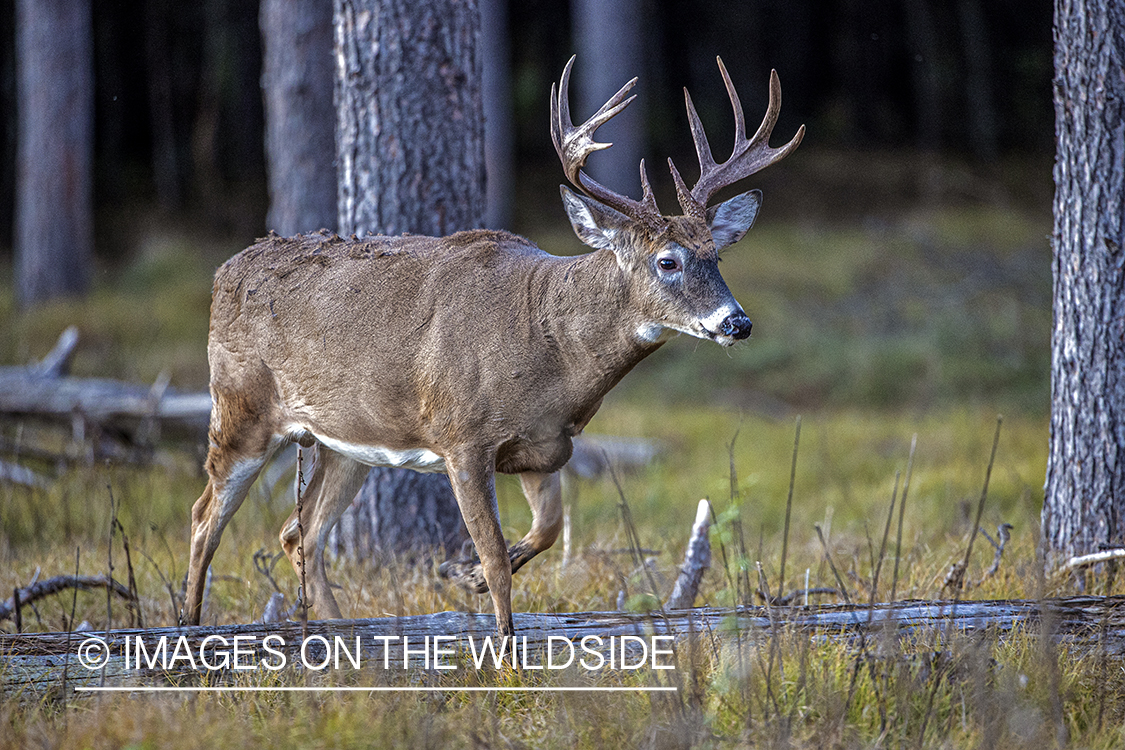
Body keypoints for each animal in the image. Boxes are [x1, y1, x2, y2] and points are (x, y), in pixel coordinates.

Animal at [182, 55, 801, 638]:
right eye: (667, 261)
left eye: (716, 255)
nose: (737, 323)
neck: (550, 349)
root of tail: (223, 271)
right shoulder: (463, 438)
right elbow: (499, 559)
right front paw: (502, 647)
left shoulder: (545, 445)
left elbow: (546, 531)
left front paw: (470, 577)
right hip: (240, 407)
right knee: (204, 515)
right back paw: (188, 627)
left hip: (346, 442)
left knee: (299, 532)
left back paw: (342, 638)